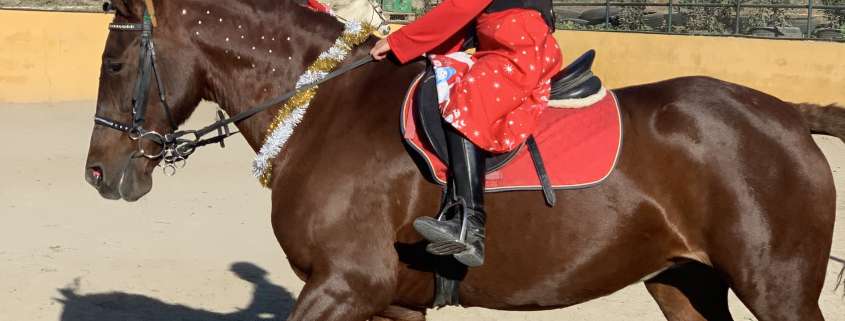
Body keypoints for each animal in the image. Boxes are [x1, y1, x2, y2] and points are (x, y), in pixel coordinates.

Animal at [84, 1, 836, 318]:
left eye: (115, 62)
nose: (97, 172)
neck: (321, 104)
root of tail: (785, 112)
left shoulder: (344, 286)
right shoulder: (391, 304)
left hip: (777, 290)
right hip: (683, 281)